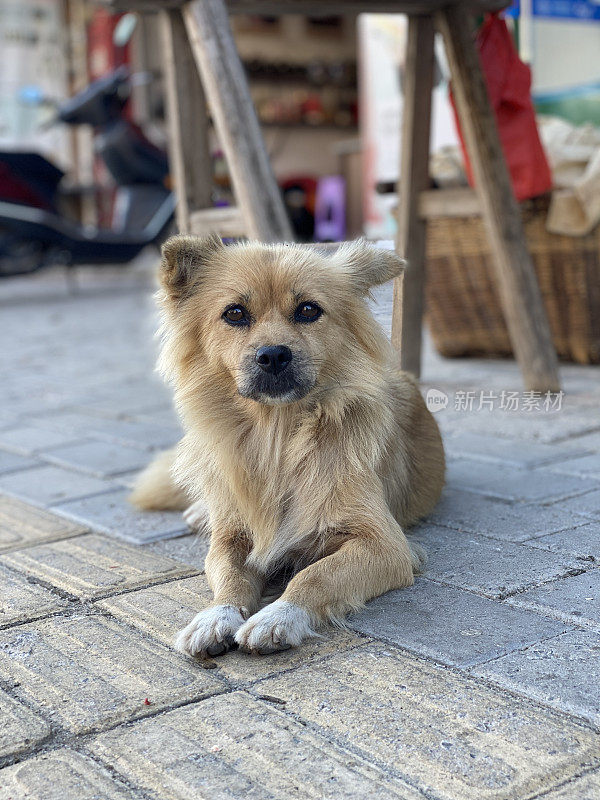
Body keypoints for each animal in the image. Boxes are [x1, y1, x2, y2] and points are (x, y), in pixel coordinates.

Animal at [131, 236, 446, 656]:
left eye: (308, 309)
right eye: (235, 313)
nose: (273, 355)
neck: (278, 438)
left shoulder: (386, 545)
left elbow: (315, 574)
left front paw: (279, 615)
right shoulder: (231, 537)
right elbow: (228, 575)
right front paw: (216, 616)